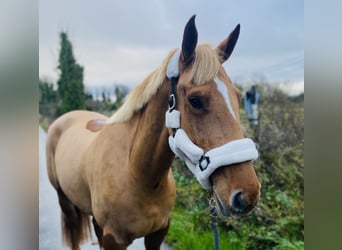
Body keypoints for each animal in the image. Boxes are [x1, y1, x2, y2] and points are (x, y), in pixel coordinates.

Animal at [45, 16, 260, 250]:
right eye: (195, 100)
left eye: (238, 97)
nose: (246, 194)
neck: (137, 174)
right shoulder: (114, 240)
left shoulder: (158, 233)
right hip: (65, 203)